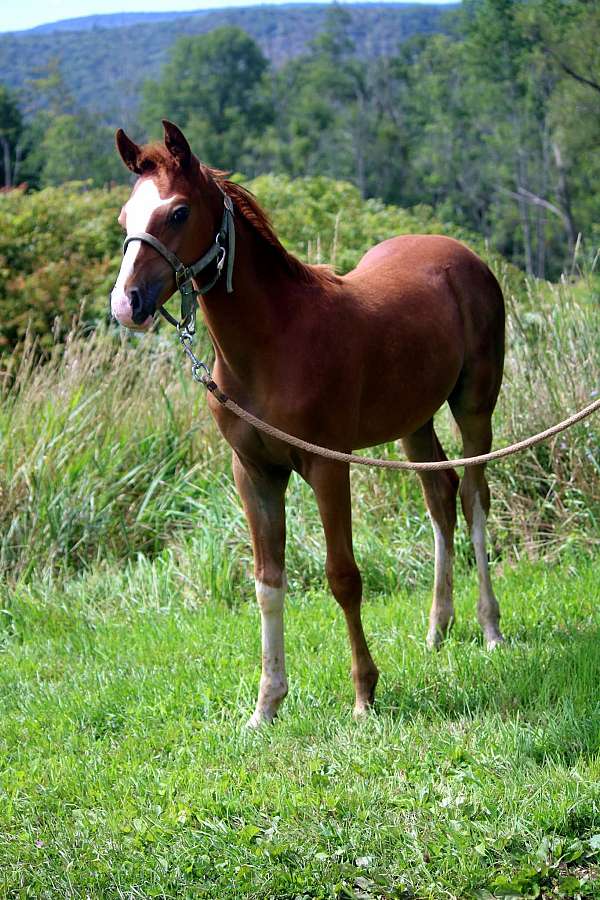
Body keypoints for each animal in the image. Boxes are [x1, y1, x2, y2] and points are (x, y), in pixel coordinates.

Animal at [110, 120, 505, 727]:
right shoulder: (253, 472)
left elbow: (342, 576)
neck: (274, 344)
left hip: (474, 407)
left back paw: (490, 628)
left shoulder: (326, 466)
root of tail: (463, 256)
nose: (127, 304)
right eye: (125, 218)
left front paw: (364, 696)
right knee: (440, 492)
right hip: (413, 421)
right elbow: (268, 583)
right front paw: (266, 705)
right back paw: (438, 629)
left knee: (474, 498)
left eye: (177, 212)